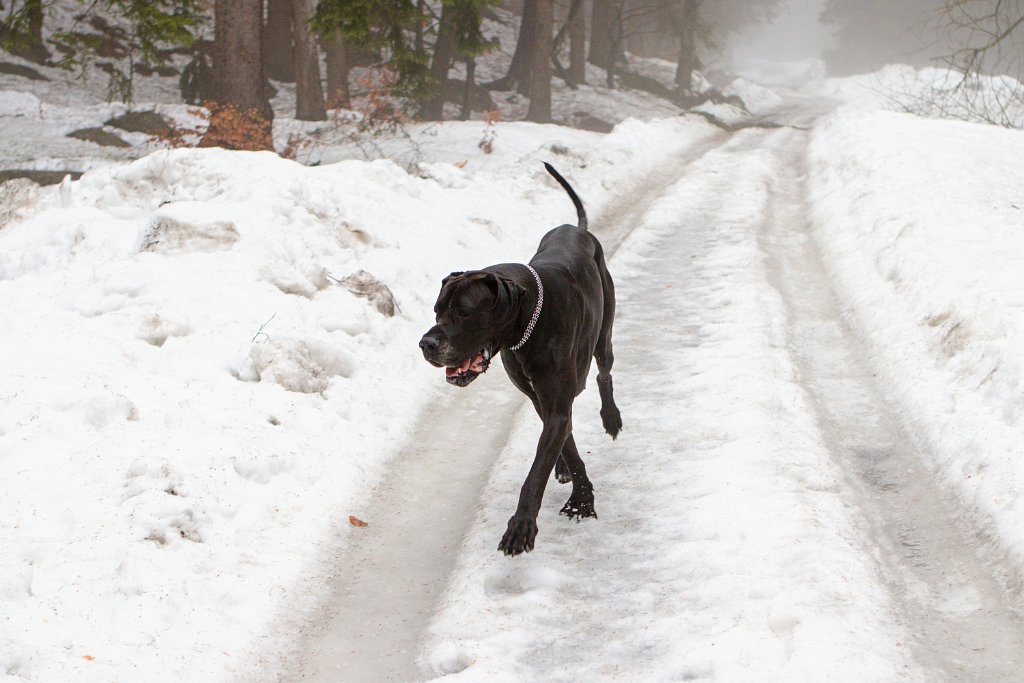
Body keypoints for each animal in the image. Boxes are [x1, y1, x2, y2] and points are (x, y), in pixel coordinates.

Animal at [417, 163, 622, 557]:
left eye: (464, 312)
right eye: (437, 310)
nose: (426, 343)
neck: (530, 324)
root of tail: (576, 228)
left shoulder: (557, 402)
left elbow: (536, 472)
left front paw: (526, 524)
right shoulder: (542, 400)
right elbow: (565, 444)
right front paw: (580, 493)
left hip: (604, 336)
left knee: (603, 373)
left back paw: (612, 417)